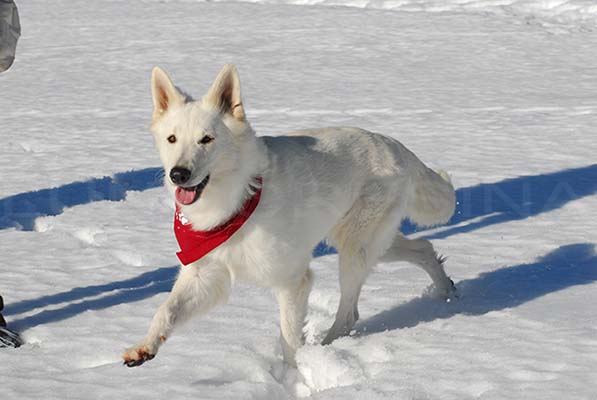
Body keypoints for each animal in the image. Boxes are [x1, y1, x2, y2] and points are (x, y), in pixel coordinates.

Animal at [122, 64, 456, 368]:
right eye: (172, 139)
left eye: (206, 139)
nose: (178, 174)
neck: (235, 202)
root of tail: (394, 146)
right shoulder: (205, 274)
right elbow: (166, 310)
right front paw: (145, 346)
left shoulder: (293, 282)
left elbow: (289, 340)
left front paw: (293, 375)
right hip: (363, 243)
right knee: (423, 247)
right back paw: (446, 289)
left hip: (354, 251)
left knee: (349, 314)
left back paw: (327, 350)